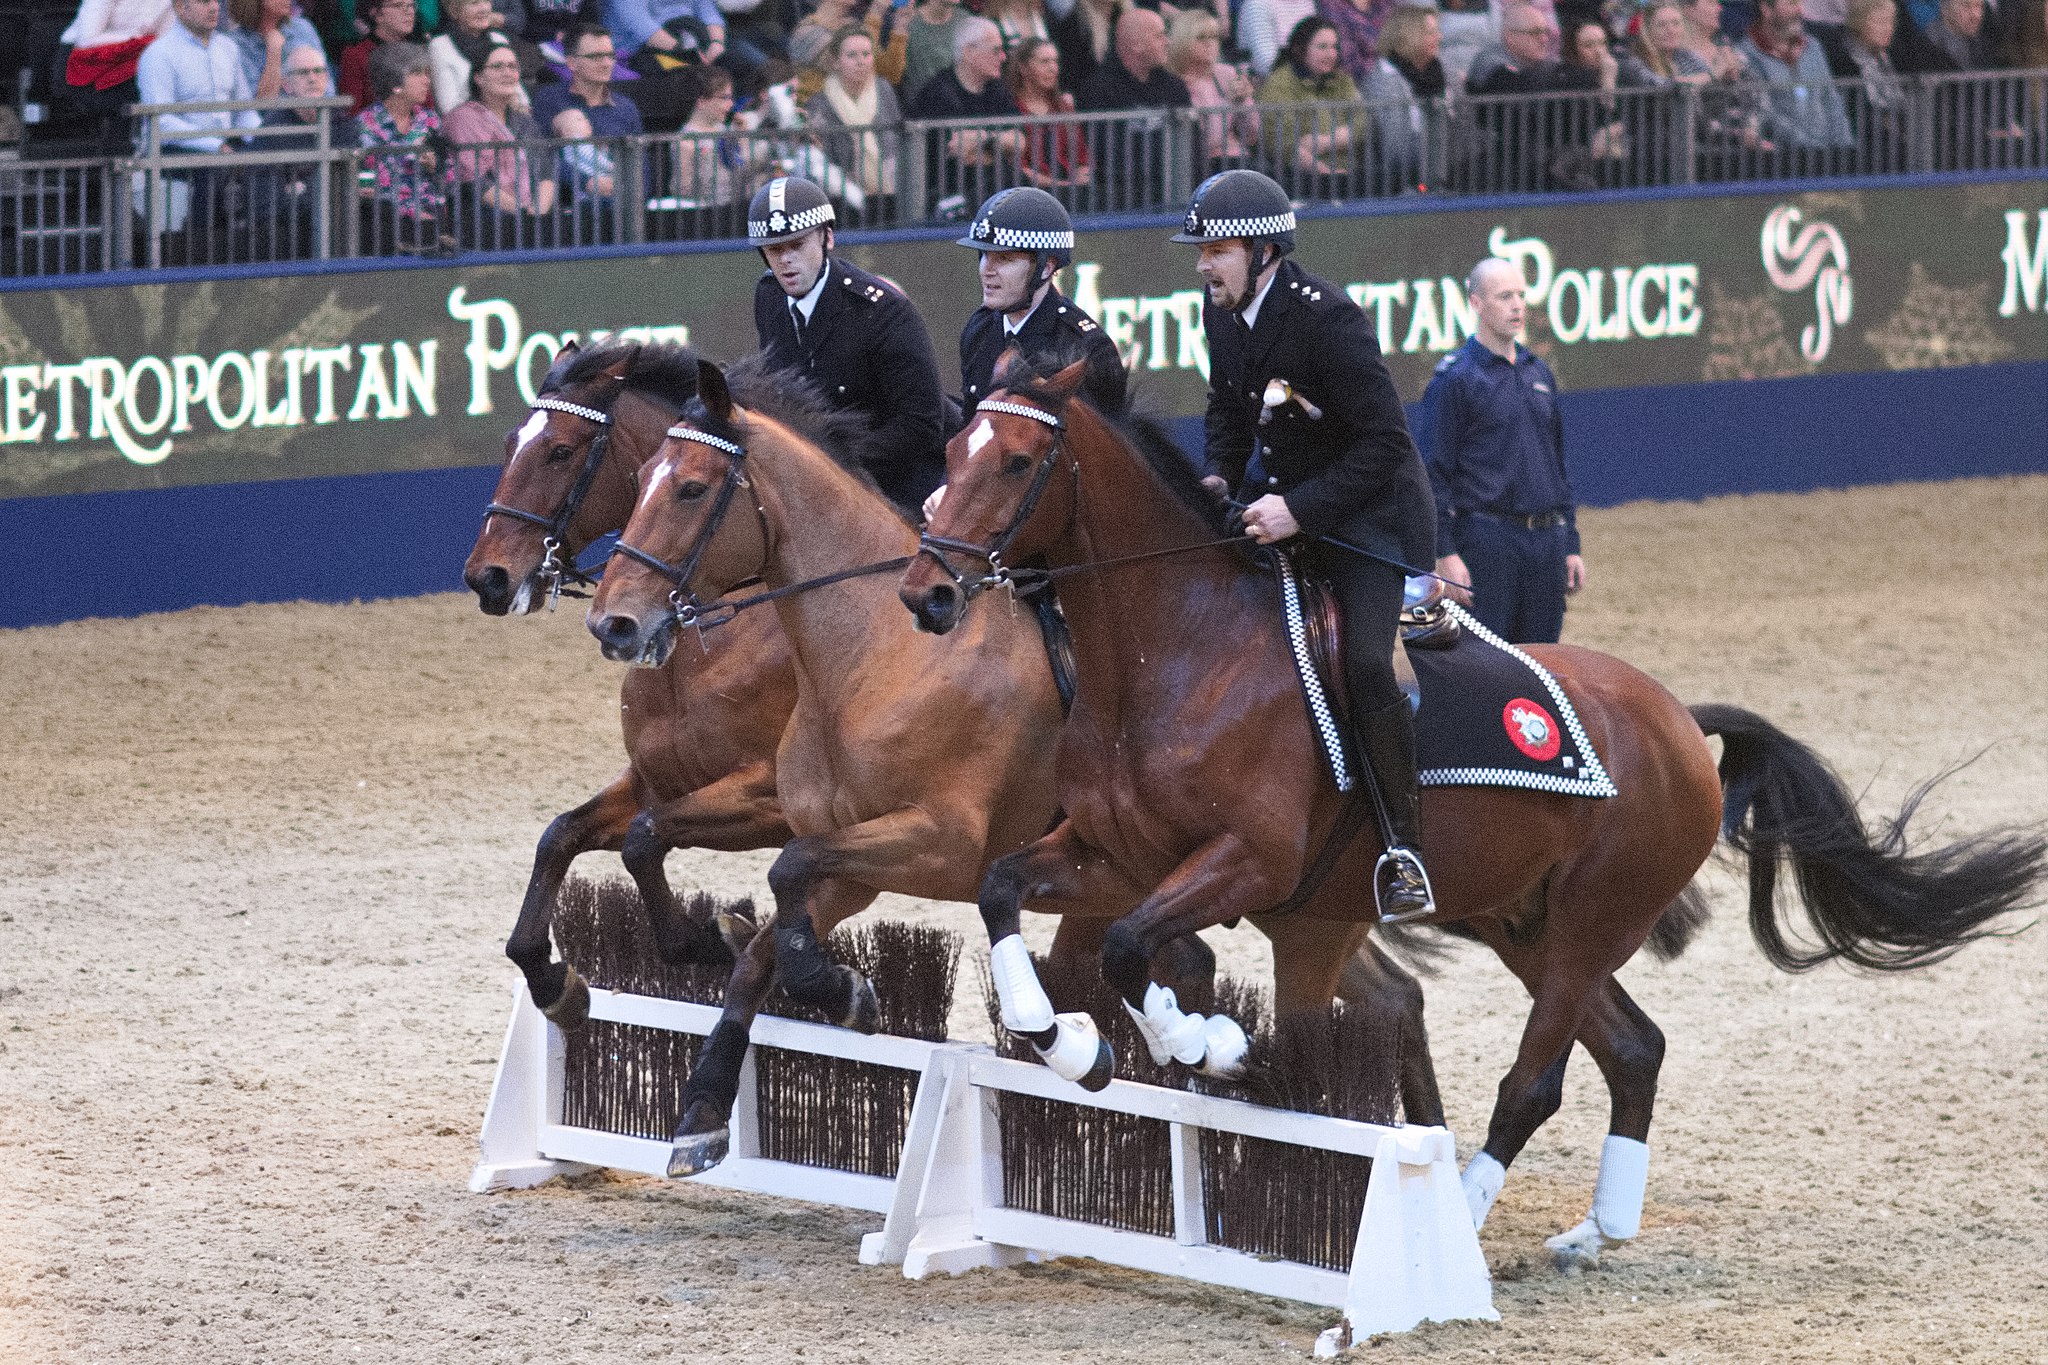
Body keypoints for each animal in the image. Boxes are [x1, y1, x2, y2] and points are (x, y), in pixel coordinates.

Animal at [460, 341, 794, 1023]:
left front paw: (720, 939)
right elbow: (561, 836)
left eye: (561, 451)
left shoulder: (773, 800)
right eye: (511, 442)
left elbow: (643, 846)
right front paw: (552, 981)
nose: (488, 578)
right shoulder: (654, 783)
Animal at [905, 360, 2039, 1268]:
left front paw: (1204, 1046)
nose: (925, 592)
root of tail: (1679, 719)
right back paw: (1595, 1229)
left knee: (1536, 1080)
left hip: (1589, 923)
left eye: (1014, 460)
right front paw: (1072, 1045)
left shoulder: (1247, 863)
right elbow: (1009, 894)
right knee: (1633, 1048)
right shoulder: (1113, 854)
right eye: (950, 446)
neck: (1175, 650)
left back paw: (1459, 1203)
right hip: (1521, 923)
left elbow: (1135, 950)